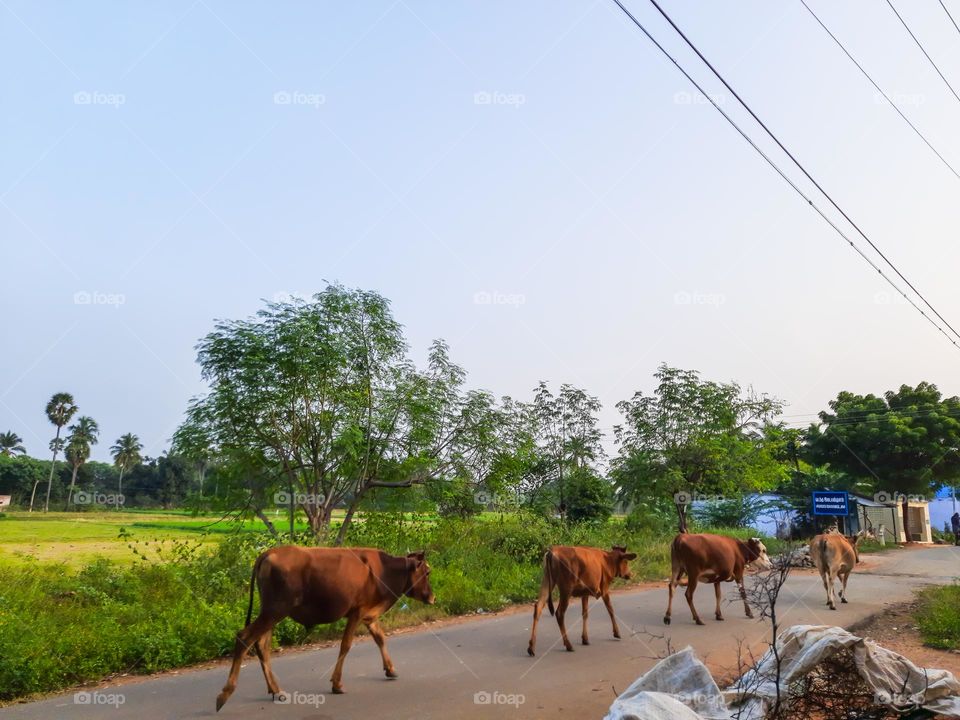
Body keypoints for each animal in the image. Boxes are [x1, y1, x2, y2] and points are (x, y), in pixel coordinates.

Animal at [215, 548, 436, 712]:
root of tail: (269, 552)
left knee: (261, 644)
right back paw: (225, 694)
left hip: (271, 612)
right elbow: (346, 646)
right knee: (244, 637)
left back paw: (276, 690)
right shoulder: (357, 611)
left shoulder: (369, 614)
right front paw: (337, 684)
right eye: (427, 572)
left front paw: (390, 669)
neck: (384, 571)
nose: (433, 598)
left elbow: (380, 638)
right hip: (275, 610)